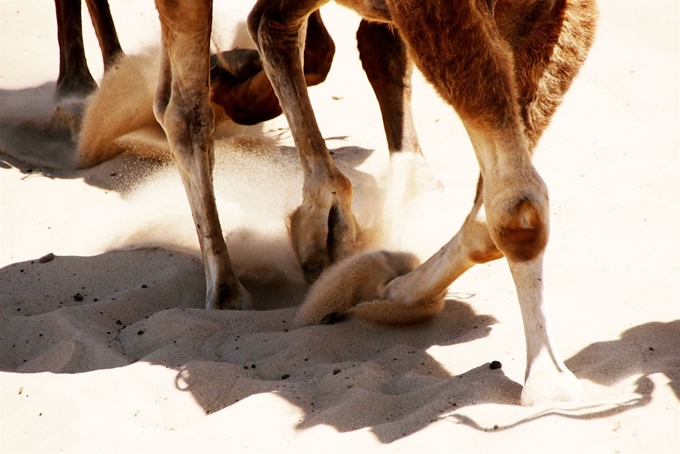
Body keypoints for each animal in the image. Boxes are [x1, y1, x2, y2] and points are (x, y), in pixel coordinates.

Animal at [153, 0, 596, 406]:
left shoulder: (556, 12)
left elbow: (496, 207)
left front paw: (390, 290)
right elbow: (515, 205)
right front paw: (547, 379)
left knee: (273, 27)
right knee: (186, 112)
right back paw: (231, 287)